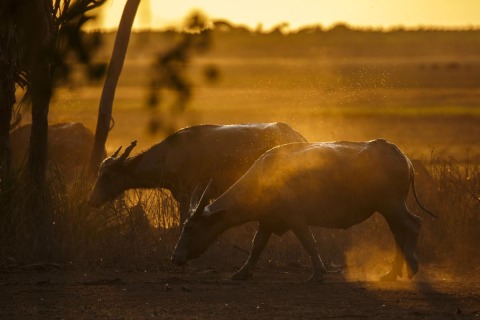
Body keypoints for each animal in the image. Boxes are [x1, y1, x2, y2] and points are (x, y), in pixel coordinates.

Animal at [172, 139, 436, 282]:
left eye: (190, 227)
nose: (176, 257)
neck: (263, 179)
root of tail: (402, 157)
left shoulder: (295, 219)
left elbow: (309, 243)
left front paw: (318, 273)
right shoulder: (267, 222)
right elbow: (256, 247)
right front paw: (241, 273)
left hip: (392, 204)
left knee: (413, 224)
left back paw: (412, 267)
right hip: (388, 208)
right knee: (398, 233)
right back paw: (391, 273)